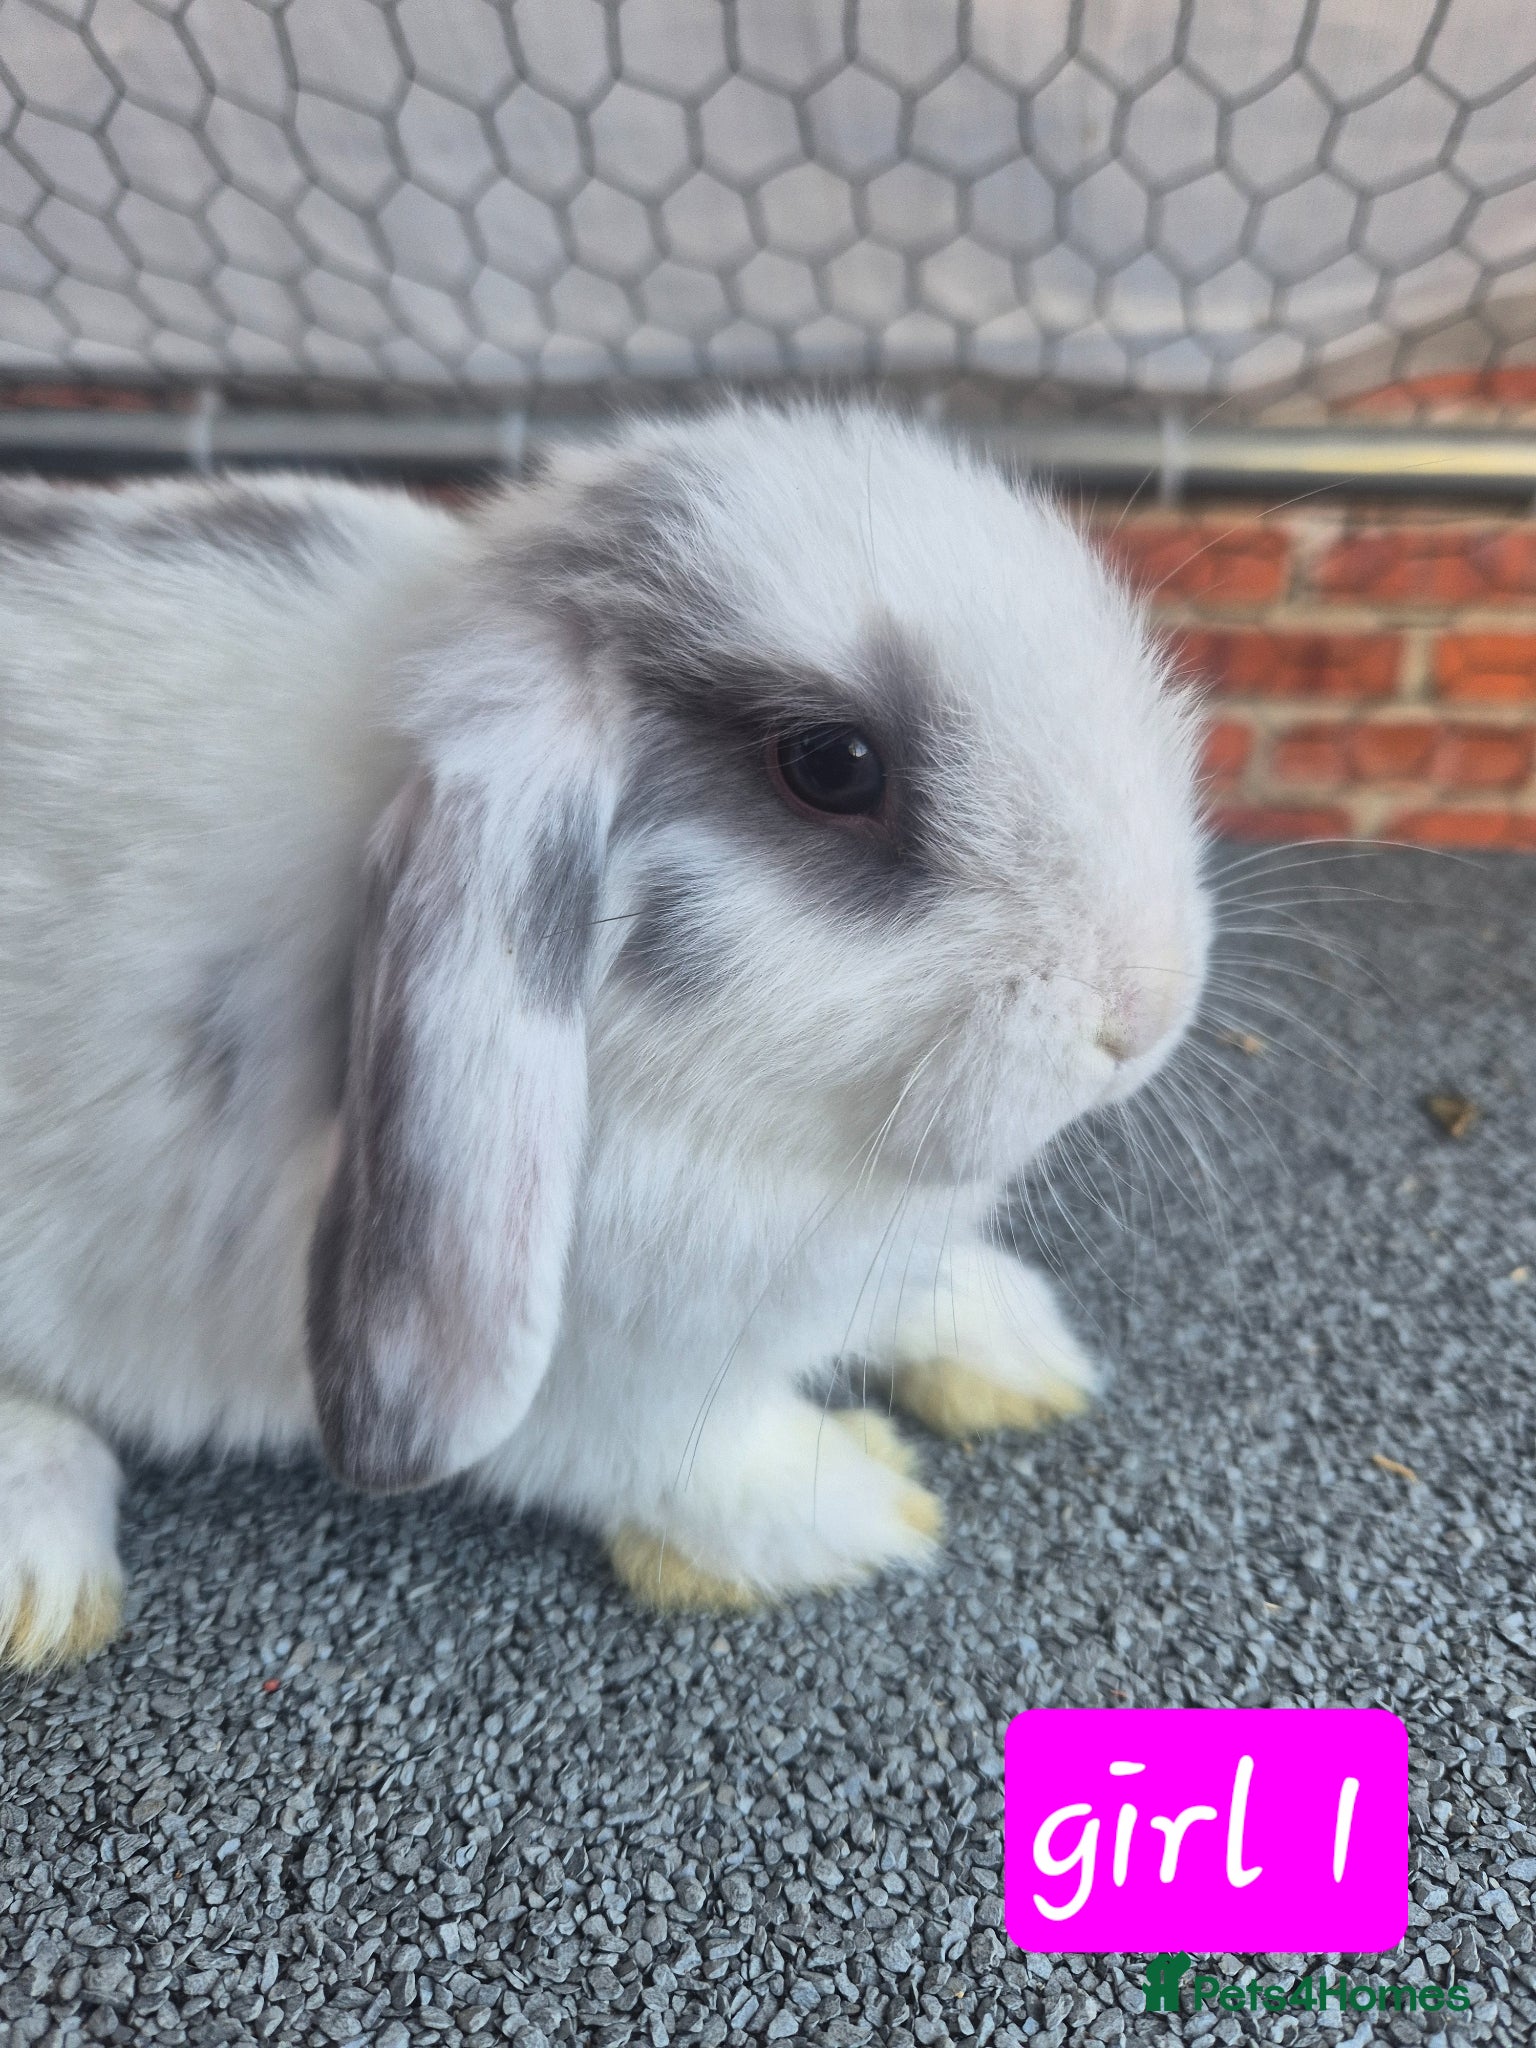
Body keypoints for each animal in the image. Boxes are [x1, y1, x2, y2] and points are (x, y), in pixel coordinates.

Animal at [0, 404, 1212, 1669]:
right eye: (834, 765)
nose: (1145, 1014)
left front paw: (1015, 1349)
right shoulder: (603, 1376)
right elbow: (683, 1456)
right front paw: (856, 1508)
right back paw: (45, 1575)